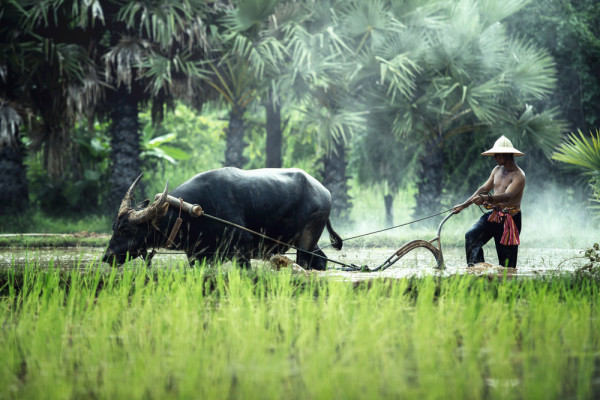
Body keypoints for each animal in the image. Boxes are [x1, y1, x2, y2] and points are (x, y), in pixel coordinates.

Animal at [103, 167, 342, 270]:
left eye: (126, 230)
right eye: (114, 227)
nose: (107, 257)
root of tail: (325, 192)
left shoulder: (242, 251)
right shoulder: (198, 257)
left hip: (307, 239)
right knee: (320, 261)